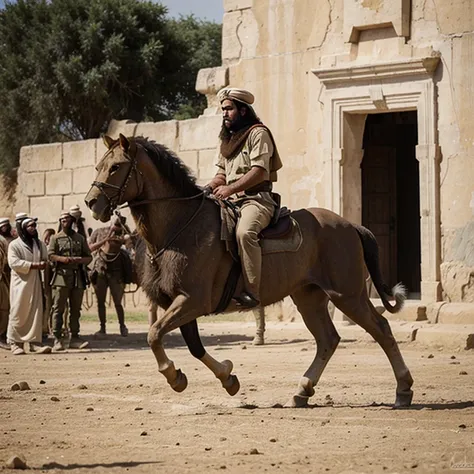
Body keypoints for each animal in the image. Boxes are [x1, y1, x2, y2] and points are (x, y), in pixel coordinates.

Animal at [86, 133, 414, 408]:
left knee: (381, 330)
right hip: (308, 297)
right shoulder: (178, 303)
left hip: (348, 295)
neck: (181, 225)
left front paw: (174, 375)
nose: (92, 202)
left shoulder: (192, 301)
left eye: (116, 167)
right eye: (100, 166)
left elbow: (154, 334)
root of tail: (350, 225)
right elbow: (192, 346)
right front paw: (226, 377)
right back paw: (303, 390)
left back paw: (403, 389)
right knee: (328, 340)